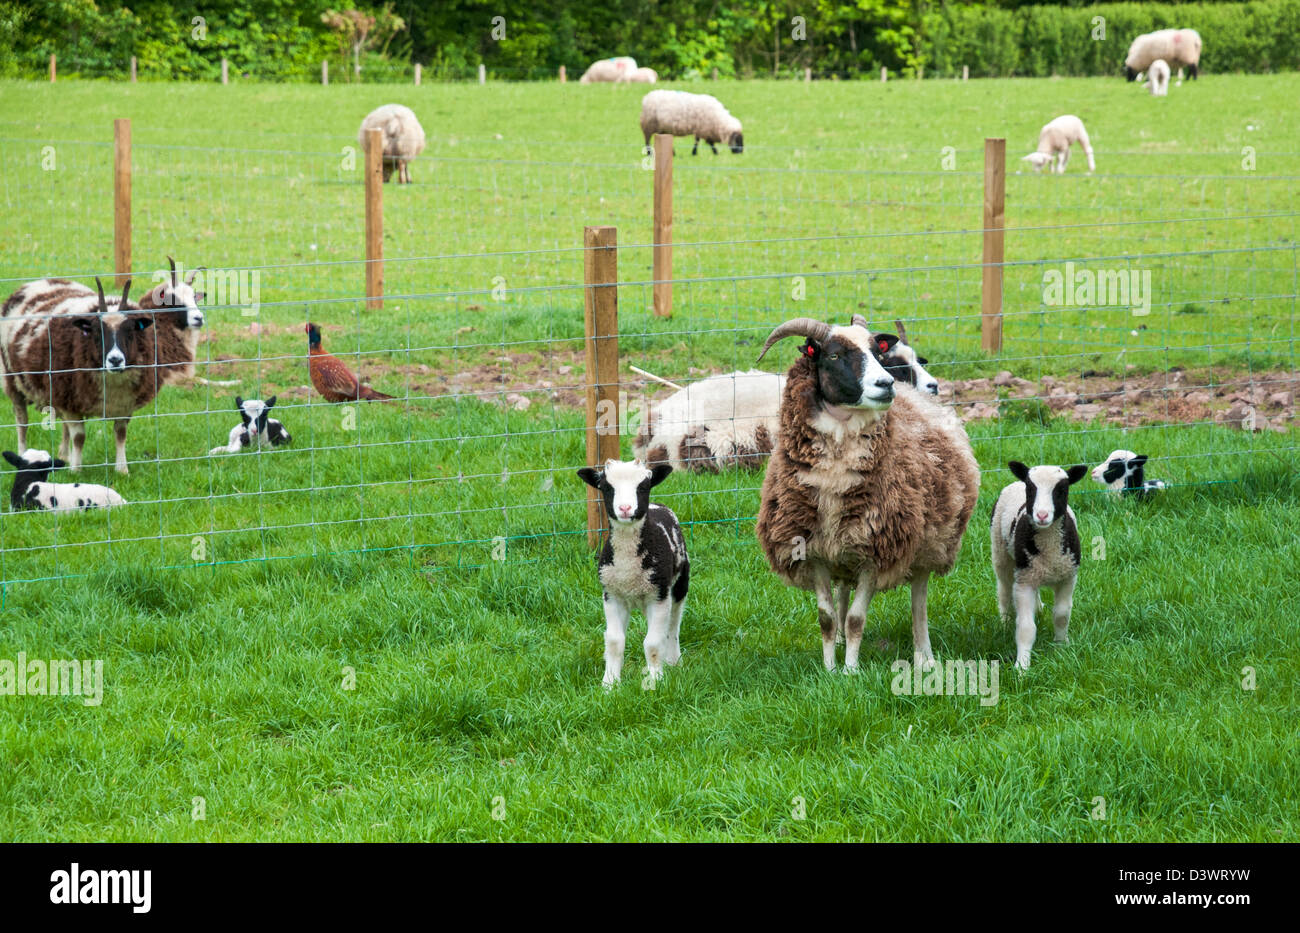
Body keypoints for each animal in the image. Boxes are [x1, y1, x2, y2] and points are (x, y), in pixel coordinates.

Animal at [0, 276, 195, 474]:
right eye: (96, 332)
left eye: (130, 331)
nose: (115, 360)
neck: (113, 383)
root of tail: (41, 281)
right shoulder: (72, 402)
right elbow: (79, 437)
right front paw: (76, 470)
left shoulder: (123, 403)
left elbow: (120, 434)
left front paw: (122, 469)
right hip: (13, 380)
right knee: (22, 422)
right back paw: (23, 455)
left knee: (63, 426)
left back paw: (64, 456)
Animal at [577, 459, 689, 687]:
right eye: (606, 488)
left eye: (643, 487)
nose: (625, 508)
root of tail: (657, 505)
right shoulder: (612, 595)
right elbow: (614, 641)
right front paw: (610, 683)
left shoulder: (658, 595)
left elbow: (653, 642)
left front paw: (654, 682)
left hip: (679, 583)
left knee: (673, 624)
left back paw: (673, 660)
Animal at [753, 315, 981, 673]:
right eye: (833, 355)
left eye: (877, 352)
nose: (886, 384)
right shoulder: (814, 552)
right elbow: (827, 618)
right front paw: (830, 669)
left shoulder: (877, 550)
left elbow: (857, 619)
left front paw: (850, 671)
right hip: (845, 549)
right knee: (844, 590)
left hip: (929, 543)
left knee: (919, 600)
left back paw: (924, 656)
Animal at [991, 461, 1088, 670]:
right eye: (1030, 489)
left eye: (1062, 490)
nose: (1041, 515)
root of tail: (1014, 482)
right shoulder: (1024, 583)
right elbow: (1026, 627)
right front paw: (1022, 666)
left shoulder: (1068, 577)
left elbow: (1061, 615)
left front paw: (1061, 646)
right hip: (1002, 554)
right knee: (1004, 589)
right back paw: (1004, 621)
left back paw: (1038, 607)